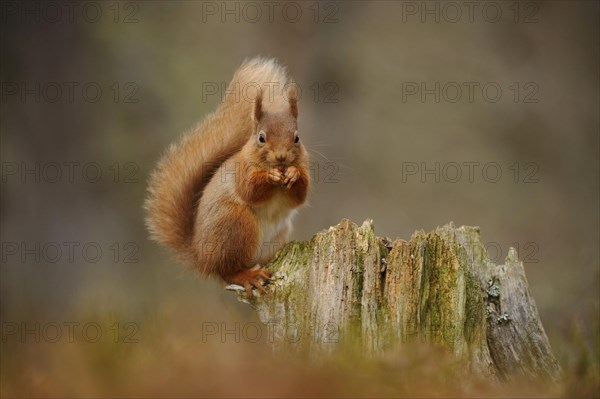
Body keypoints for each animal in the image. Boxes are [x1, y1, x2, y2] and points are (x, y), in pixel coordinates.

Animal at [144, 57, 310, 296]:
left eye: (297, 138)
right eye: (261, 137)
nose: (281, 157)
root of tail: (201, 257)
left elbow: (300, 196)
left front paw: (294, 174)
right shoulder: (241, 171)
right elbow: (250, 191)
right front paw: (270, 175)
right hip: (237, 225)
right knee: (227, 273)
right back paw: (246, 276)